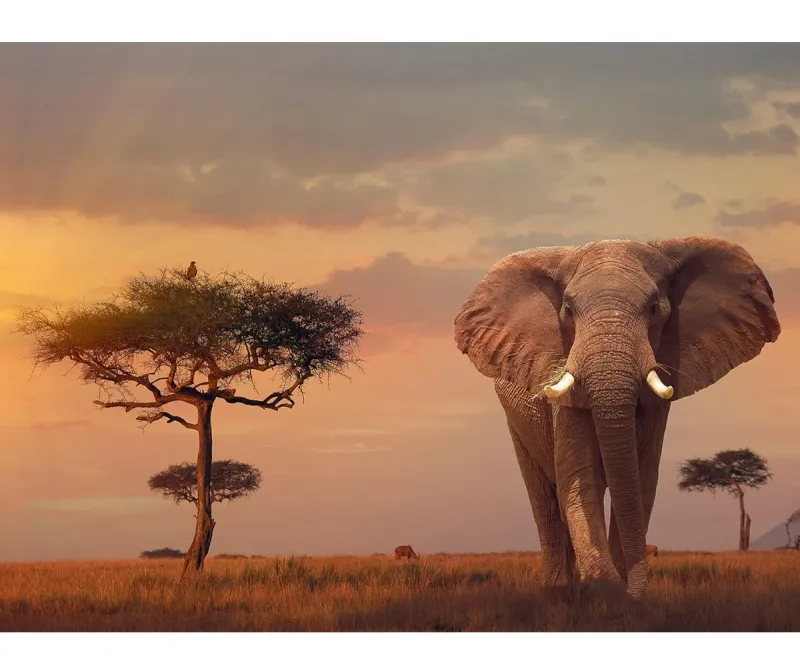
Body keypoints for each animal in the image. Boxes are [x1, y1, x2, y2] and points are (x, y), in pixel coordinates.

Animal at [454, 237, 780, 599]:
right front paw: (605, 589)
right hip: (515, 419)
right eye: (568, 310)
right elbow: (581, 478)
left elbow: (640, 479)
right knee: (544, 498)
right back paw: (558, 590)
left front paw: (621, 593)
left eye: (654, 308)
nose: (634, 591)